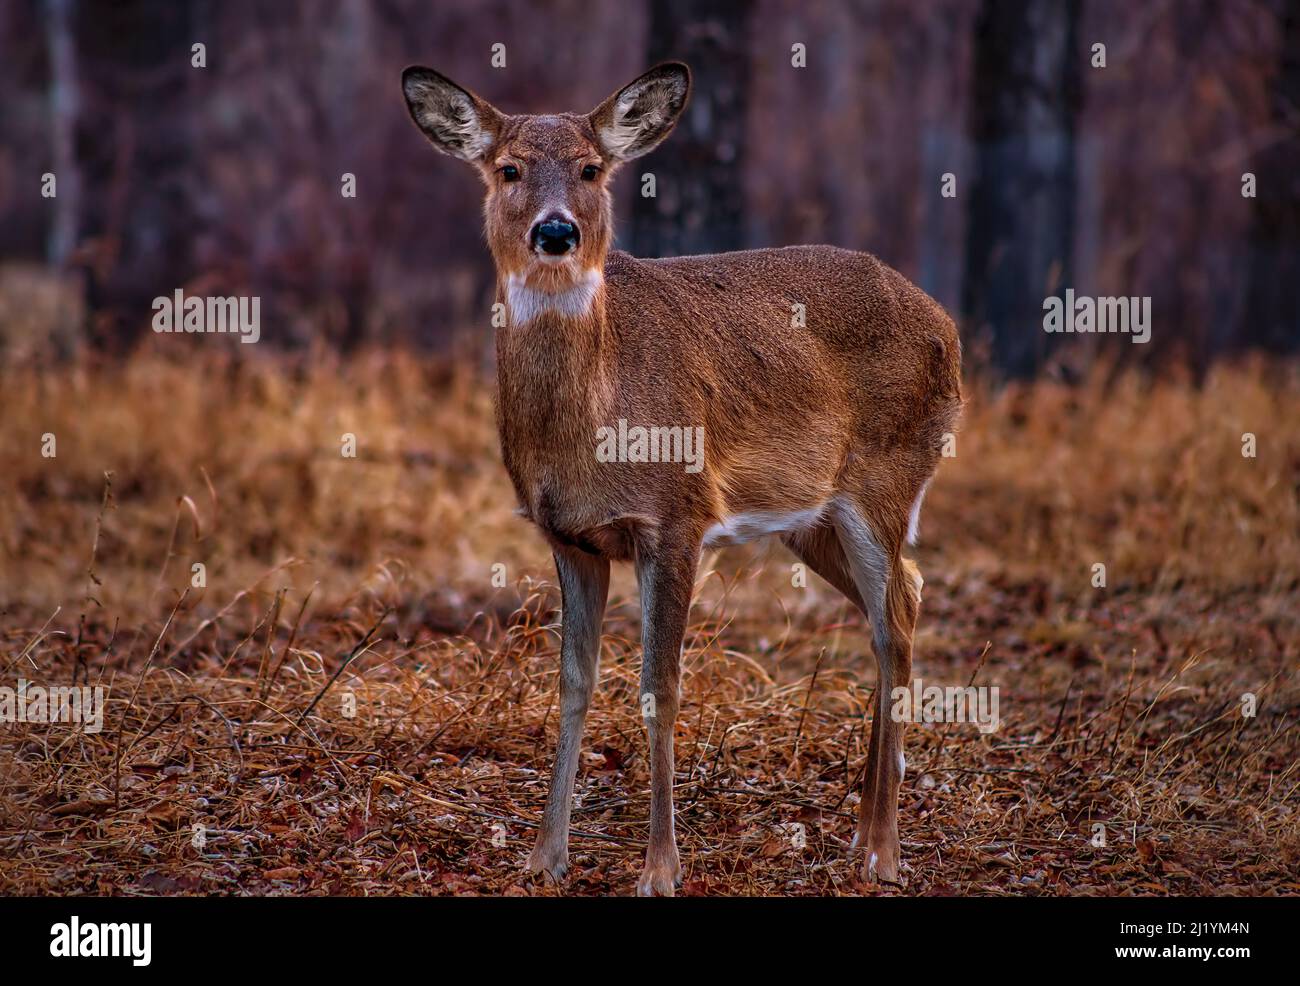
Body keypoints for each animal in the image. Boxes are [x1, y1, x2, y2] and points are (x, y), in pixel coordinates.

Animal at [400, 59, 961, 894]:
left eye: (591, 169)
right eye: (508, 169)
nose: (556, 232)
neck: (597, 423)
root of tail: (947, 325)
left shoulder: (677, 517)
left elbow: (660, 688)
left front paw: (660, 869)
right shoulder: (570, 538)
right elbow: (573, 682)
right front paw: (545, 856)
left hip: (885, 481)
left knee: (892, 615)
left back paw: (881, 849)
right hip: (810, 517)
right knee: (909, 595)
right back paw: (868, 824)